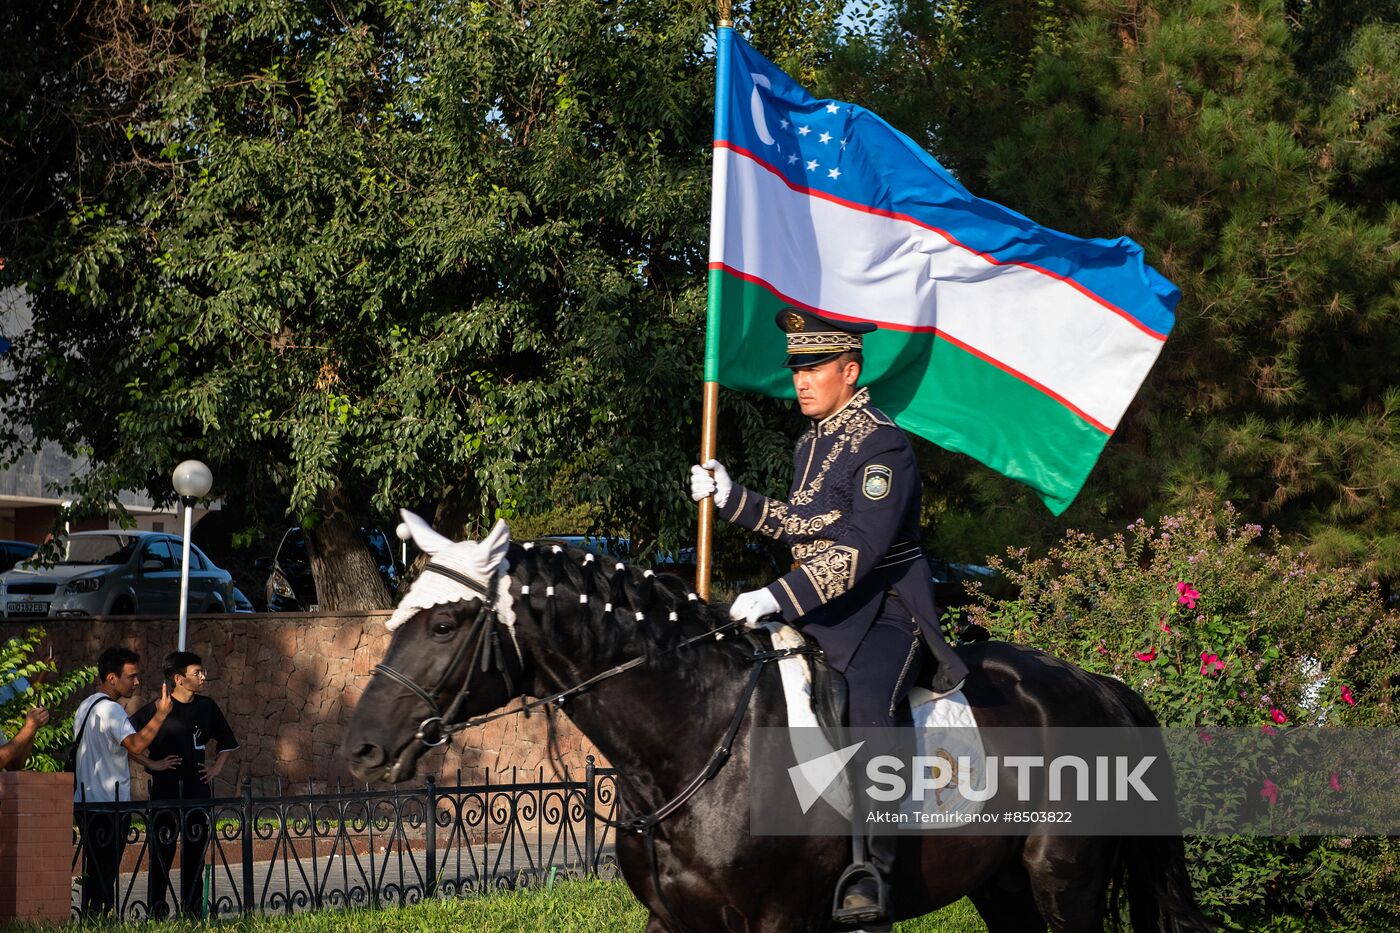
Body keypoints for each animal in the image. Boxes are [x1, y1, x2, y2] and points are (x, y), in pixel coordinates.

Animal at [344, 515, 1209, 930]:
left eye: (447, 624)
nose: (363, 748)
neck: (695, 742)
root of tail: (1096, 683)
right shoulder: (673, 922)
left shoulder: (779, 919)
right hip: (1003, 885)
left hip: (1065, 881)